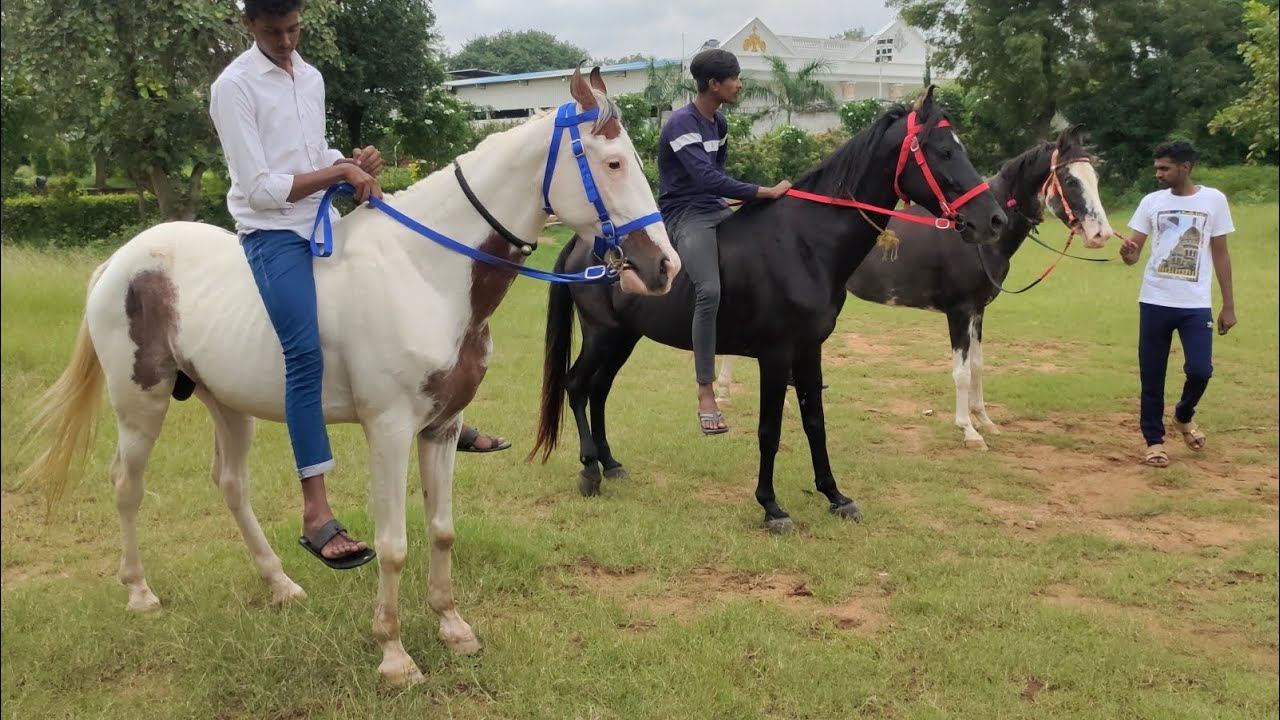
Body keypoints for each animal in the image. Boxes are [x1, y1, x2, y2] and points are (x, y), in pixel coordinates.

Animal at [20, 67, 679, 687]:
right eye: (613, 162)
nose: (663, 267)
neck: (425, 271)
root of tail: (122, 260)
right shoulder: (387, 430)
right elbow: (393, 545)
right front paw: (394, 655)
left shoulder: (443, 428)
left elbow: (442, 531)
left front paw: (453, 627)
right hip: (141, 404)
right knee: (125, 486)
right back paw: (140, 592)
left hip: (227, 403)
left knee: (231, 485)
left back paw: (280, 585)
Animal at [528, 87, 1007, 533]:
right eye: (944, 151)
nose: (995, 220)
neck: (804, 242)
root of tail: (584, 245)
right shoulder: (776, 356)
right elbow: (769, 430)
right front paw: (772, 506)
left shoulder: (810, 350)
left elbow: (815, 421)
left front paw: (834, 495)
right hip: (603, 333)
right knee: (577, 385)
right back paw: (590, 469)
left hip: (625, 337)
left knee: (599, 390)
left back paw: (610, 463)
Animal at [715, 125, 1115, 451]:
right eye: (1070, 180)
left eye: (1094, 178)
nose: (1101, 235)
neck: (977, 241)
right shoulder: (959, 311)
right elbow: (960, 371)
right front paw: (968, 430)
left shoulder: (979, 310)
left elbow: (978, 366)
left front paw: (985, 419)